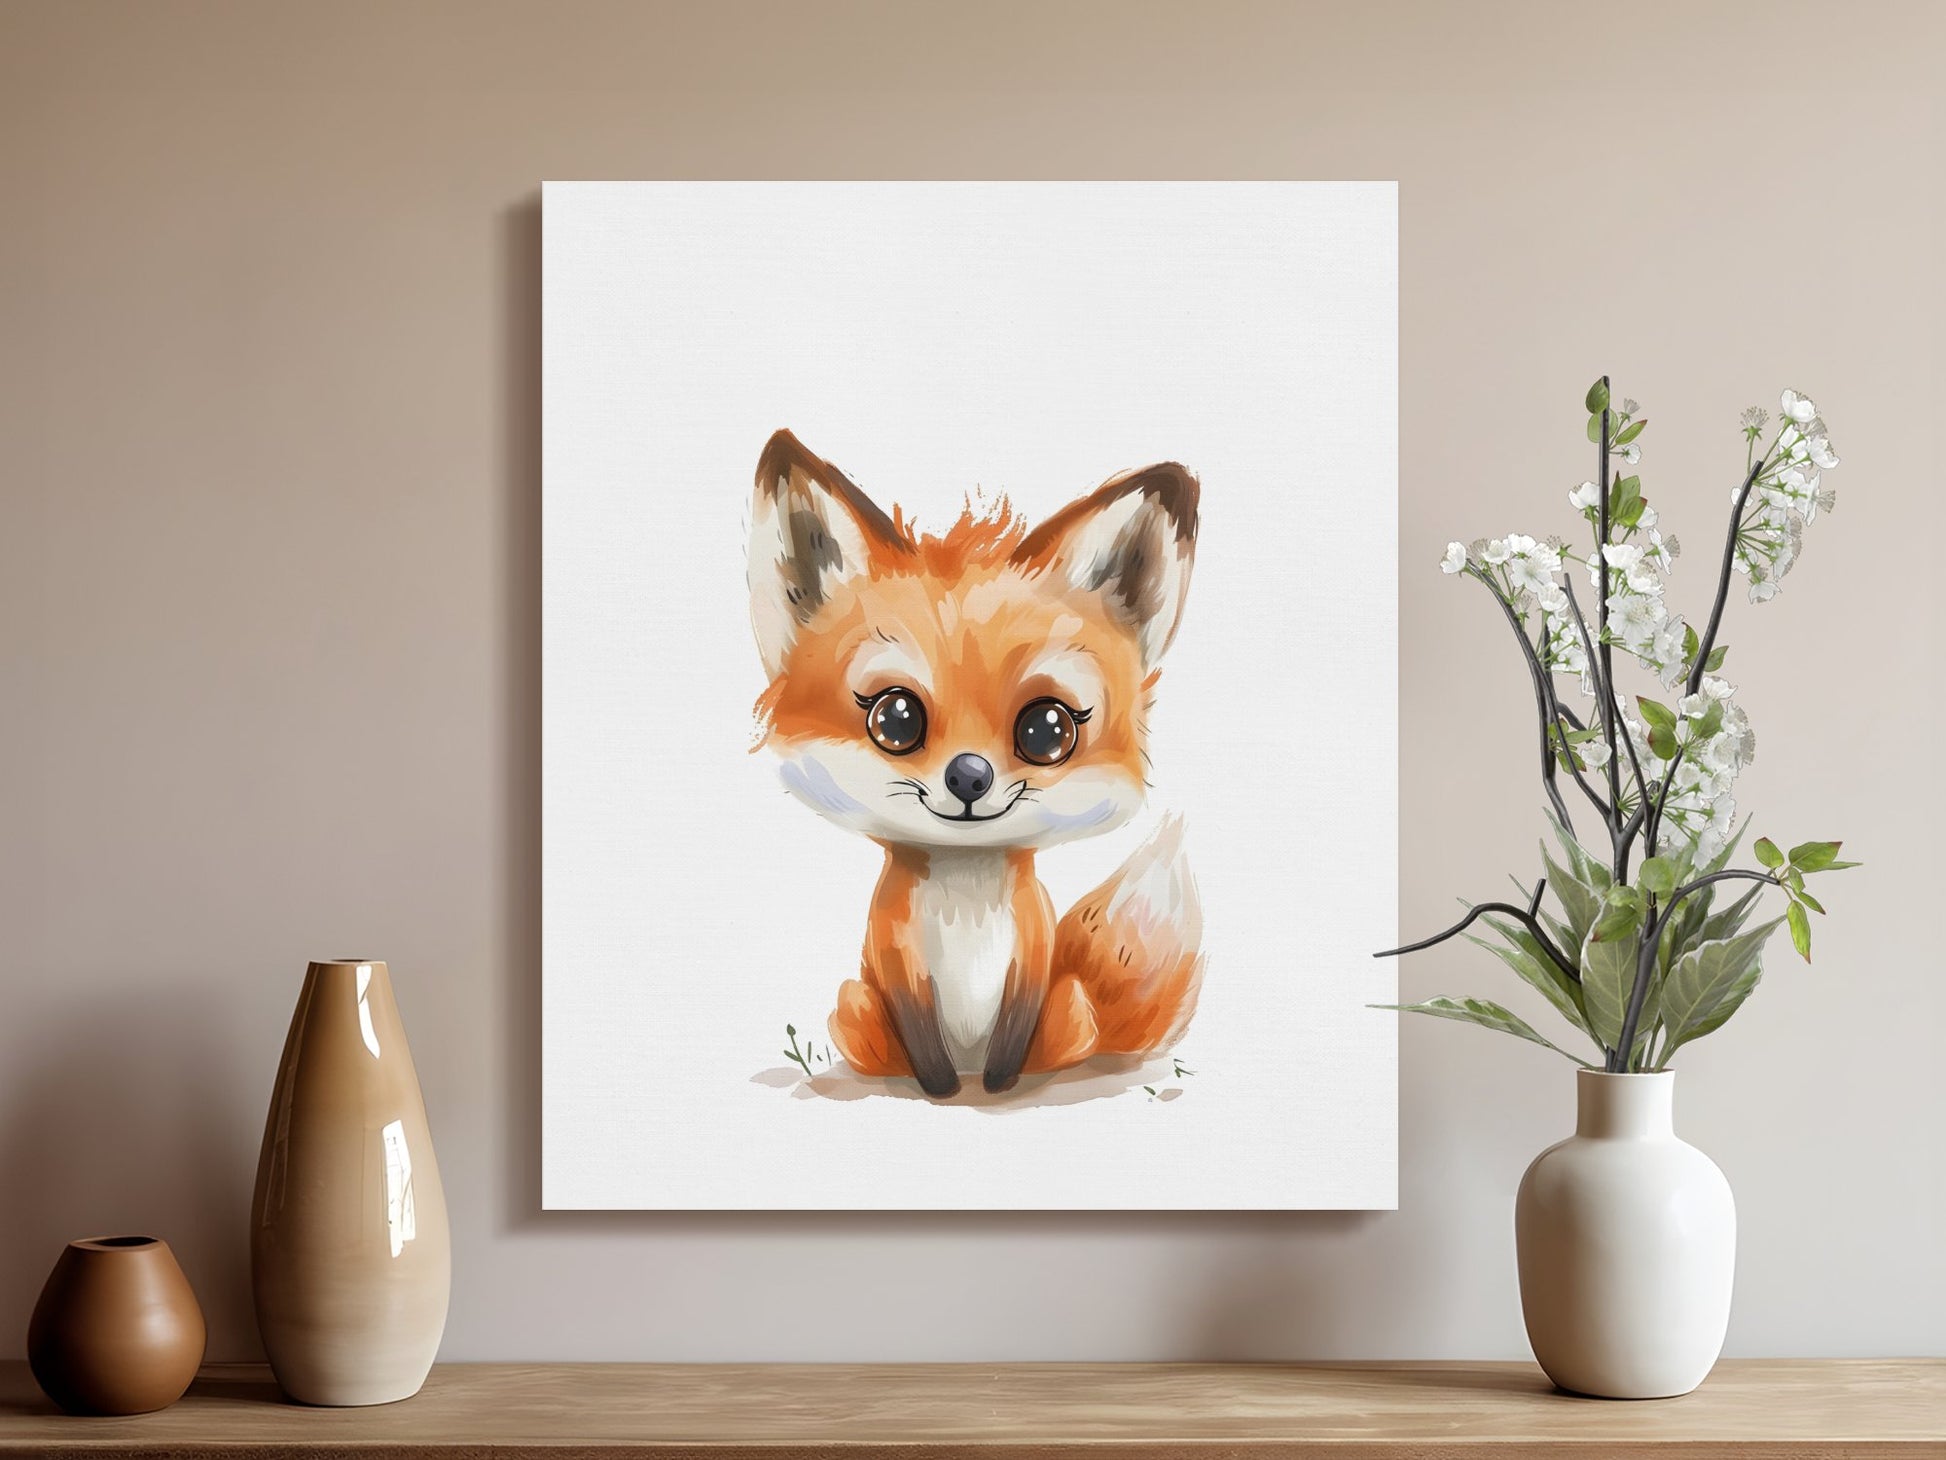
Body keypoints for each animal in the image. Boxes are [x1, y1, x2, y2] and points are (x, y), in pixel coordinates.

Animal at [747, 429, 1205, 1100]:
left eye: (1048, 730)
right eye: (896, 719)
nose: (969, 775)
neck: (965, 898)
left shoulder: (1033, 952)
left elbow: (1011, 1035)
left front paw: (997, 1086)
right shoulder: (895, 957)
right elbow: (923, 1037)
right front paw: (939, 1088)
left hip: (1071, 1007)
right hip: (855, 1006)